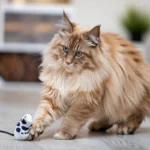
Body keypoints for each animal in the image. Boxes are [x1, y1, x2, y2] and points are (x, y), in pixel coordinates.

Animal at [27, 11, 150, 140]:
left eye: (78, 54)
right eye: (65, 49)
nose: (68, 62)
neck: (69, 77)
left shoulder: (84, 101)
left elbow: (71, 119)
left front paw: (63, 133)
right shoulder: (54, 95)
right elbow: (42, 115)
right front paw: (32, 129)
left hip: (129, 98)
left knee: (137, 115)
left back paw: (126, 127)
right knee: (112, 117)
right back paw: (98, 125)